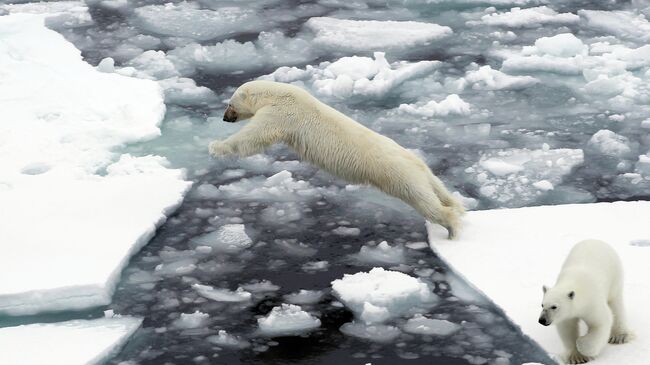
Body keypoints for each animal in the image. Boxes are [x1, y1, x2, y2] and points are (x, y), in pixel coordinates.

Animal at [208, 79, 460, 237]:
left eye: (229, 104)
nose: (224, 118)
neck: (278, 94)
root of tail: (417, 163)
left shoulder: (281, 113)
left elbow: (253, 136)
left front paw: (216, 146)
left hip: (399, 175)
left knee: (423, 200)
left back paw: (451, 227)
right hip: (421, 172)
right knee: (440, 190)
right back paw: (456, 205)